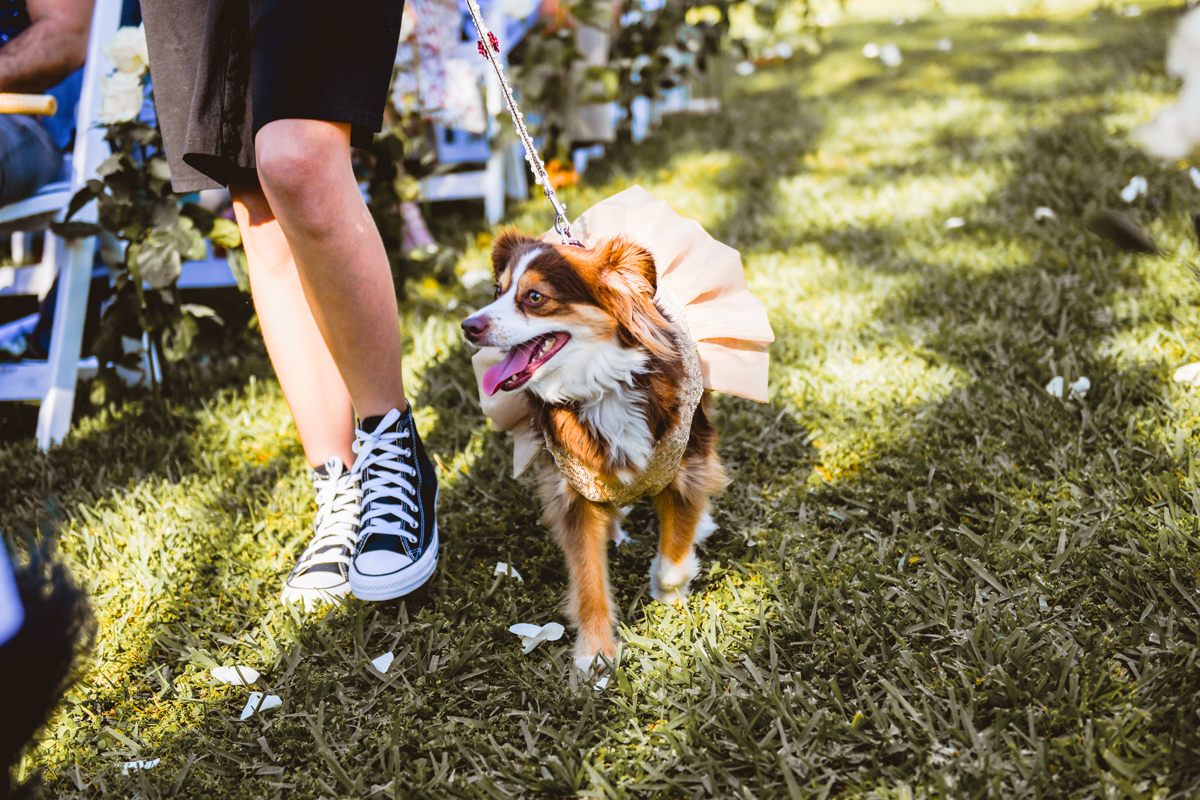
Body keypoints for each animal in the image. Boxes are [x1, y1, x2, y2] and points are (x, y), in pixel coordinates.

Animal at [460, 230, 724, 671]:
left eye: (535, 297)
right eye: (497, 290)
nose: (468, 326)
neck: (601, 387)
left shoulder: (686, 463)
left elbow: (674, 553)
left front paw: (669, 597)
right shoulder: (574, 488)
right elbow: (588, 580)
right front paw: (595, 655)